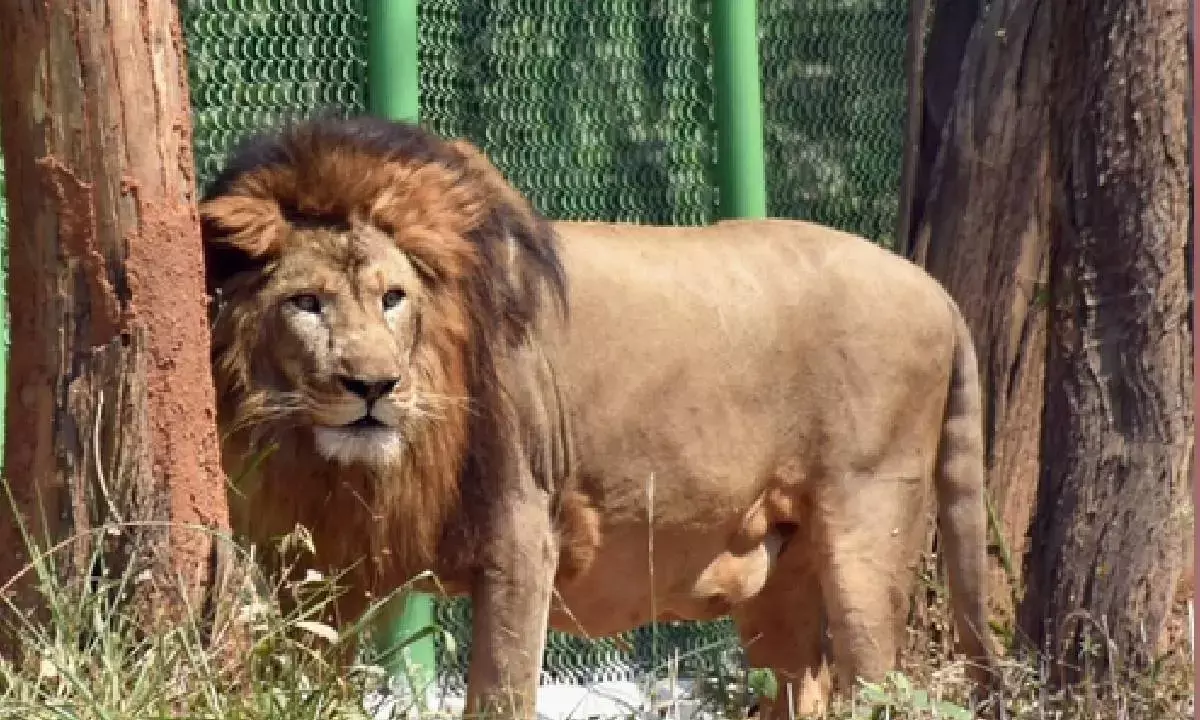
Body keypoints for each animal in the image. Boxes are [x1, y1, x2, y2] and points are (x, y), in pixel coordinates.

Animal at [199, 115, 997, 718]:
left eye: (393, 298)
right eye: (306, 302)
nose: (373, 385)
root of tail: (936, 289)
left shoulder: (523, 534)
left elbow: (500, 696)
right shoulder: (318, 563)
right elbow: (307, 678)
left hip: (868, 524)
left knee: (878, 682)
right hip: (780, 574)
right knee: (805, 687)